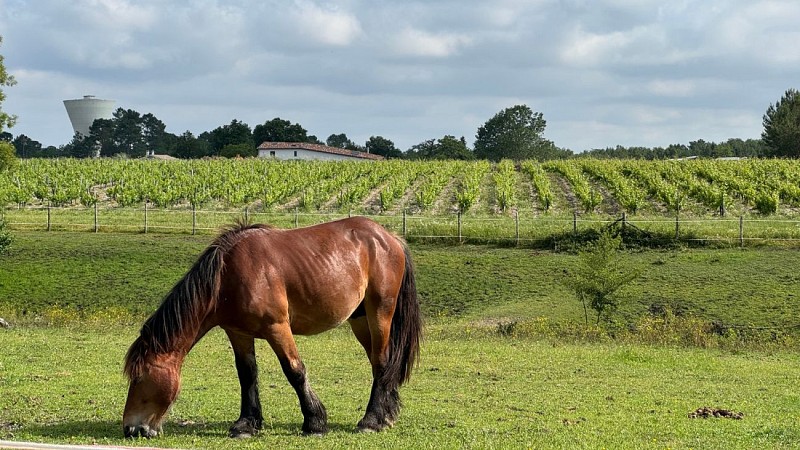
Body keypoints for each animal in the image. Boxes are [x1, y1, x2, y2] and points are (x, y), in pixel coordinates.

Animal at [122, 216, 422, 438]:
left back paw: (371, 421)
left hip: (380, 313)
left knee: (382, 362)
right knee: (378, 363)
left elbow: (295, 371)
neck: (227, 277)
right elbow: (247, 375)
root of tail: (389, 237)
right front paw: (246, 424)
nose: (131, 429)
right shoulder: (238, 333)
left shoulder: (277, 328)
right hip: (360, 320)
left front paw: (314, 422)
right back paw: (386, 415)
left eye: (139, 377)